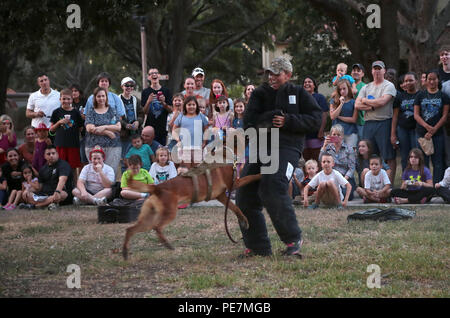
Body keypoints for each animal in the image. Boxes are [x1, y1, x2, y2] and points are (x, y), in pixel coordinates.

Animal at [122, 164, 260, 258]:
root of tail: (156, 187)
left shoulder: (221, 196)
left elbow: (235, 208)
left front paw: (243, 220)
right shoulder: (234, 184)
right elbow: (251, 176)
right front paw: (260, 174)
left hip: (148, 219)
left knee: (130, 230)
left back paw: (125, 253)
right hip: (169, 213)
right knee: (157, 227)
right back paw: (167, 244)